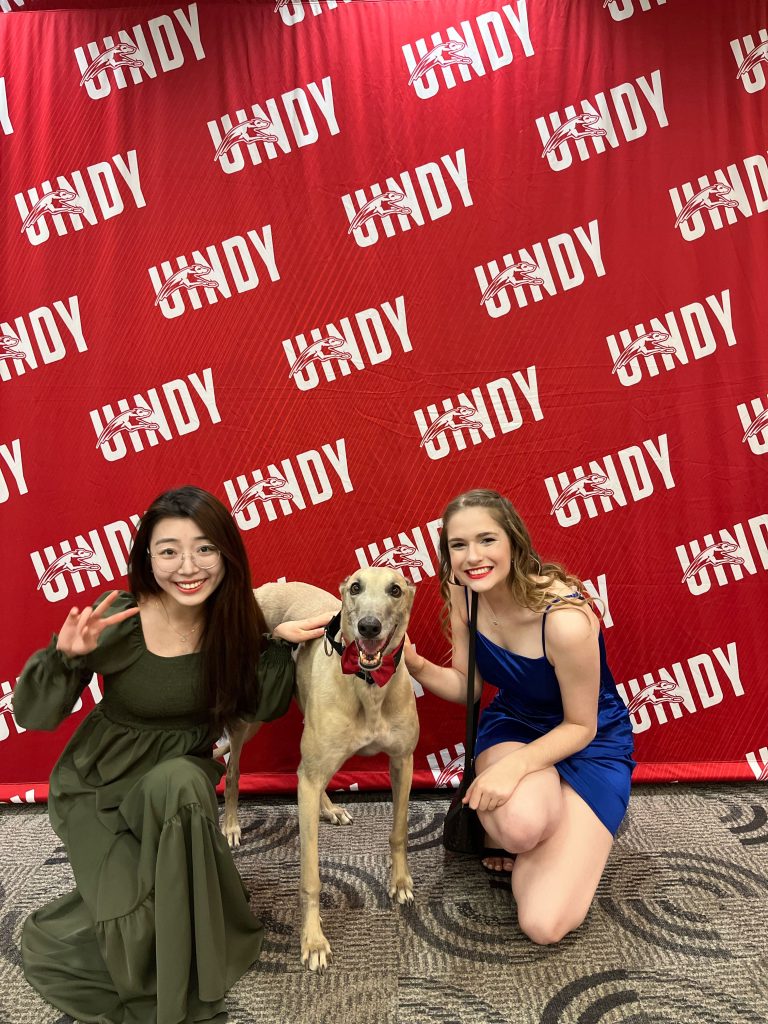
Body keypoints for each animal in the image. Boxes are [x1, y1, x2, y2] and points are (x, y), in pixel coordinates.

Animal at [217, 573, 421, 970]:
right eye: (356, 587)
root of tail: (263, 589)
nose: (368, 626)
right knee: (232, 772)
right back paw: (231, 824)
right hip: (250, 718)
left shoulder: (403, 761)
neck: (368, 686)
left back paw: (329, 808)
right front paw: (312, 941)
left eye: (396, 589)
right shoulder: (307, 779)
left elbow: (399, 832)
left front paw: (401, 882)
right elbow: (311, 877)